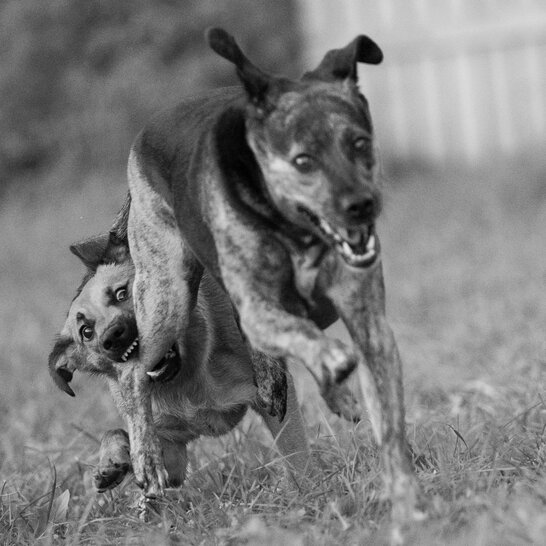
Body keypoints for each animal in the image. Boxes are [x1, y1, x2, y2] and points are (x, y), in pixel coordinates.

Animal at [49, 232, 312, 490]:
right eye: (86, 332)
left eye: (121, 293)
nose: (113, 336)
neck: (184, 379)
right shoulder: (170, 450)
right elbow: (120, 435)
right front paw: (112, 461)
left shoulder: (276, 400)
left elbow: (296, 455)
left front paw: (307, 490)